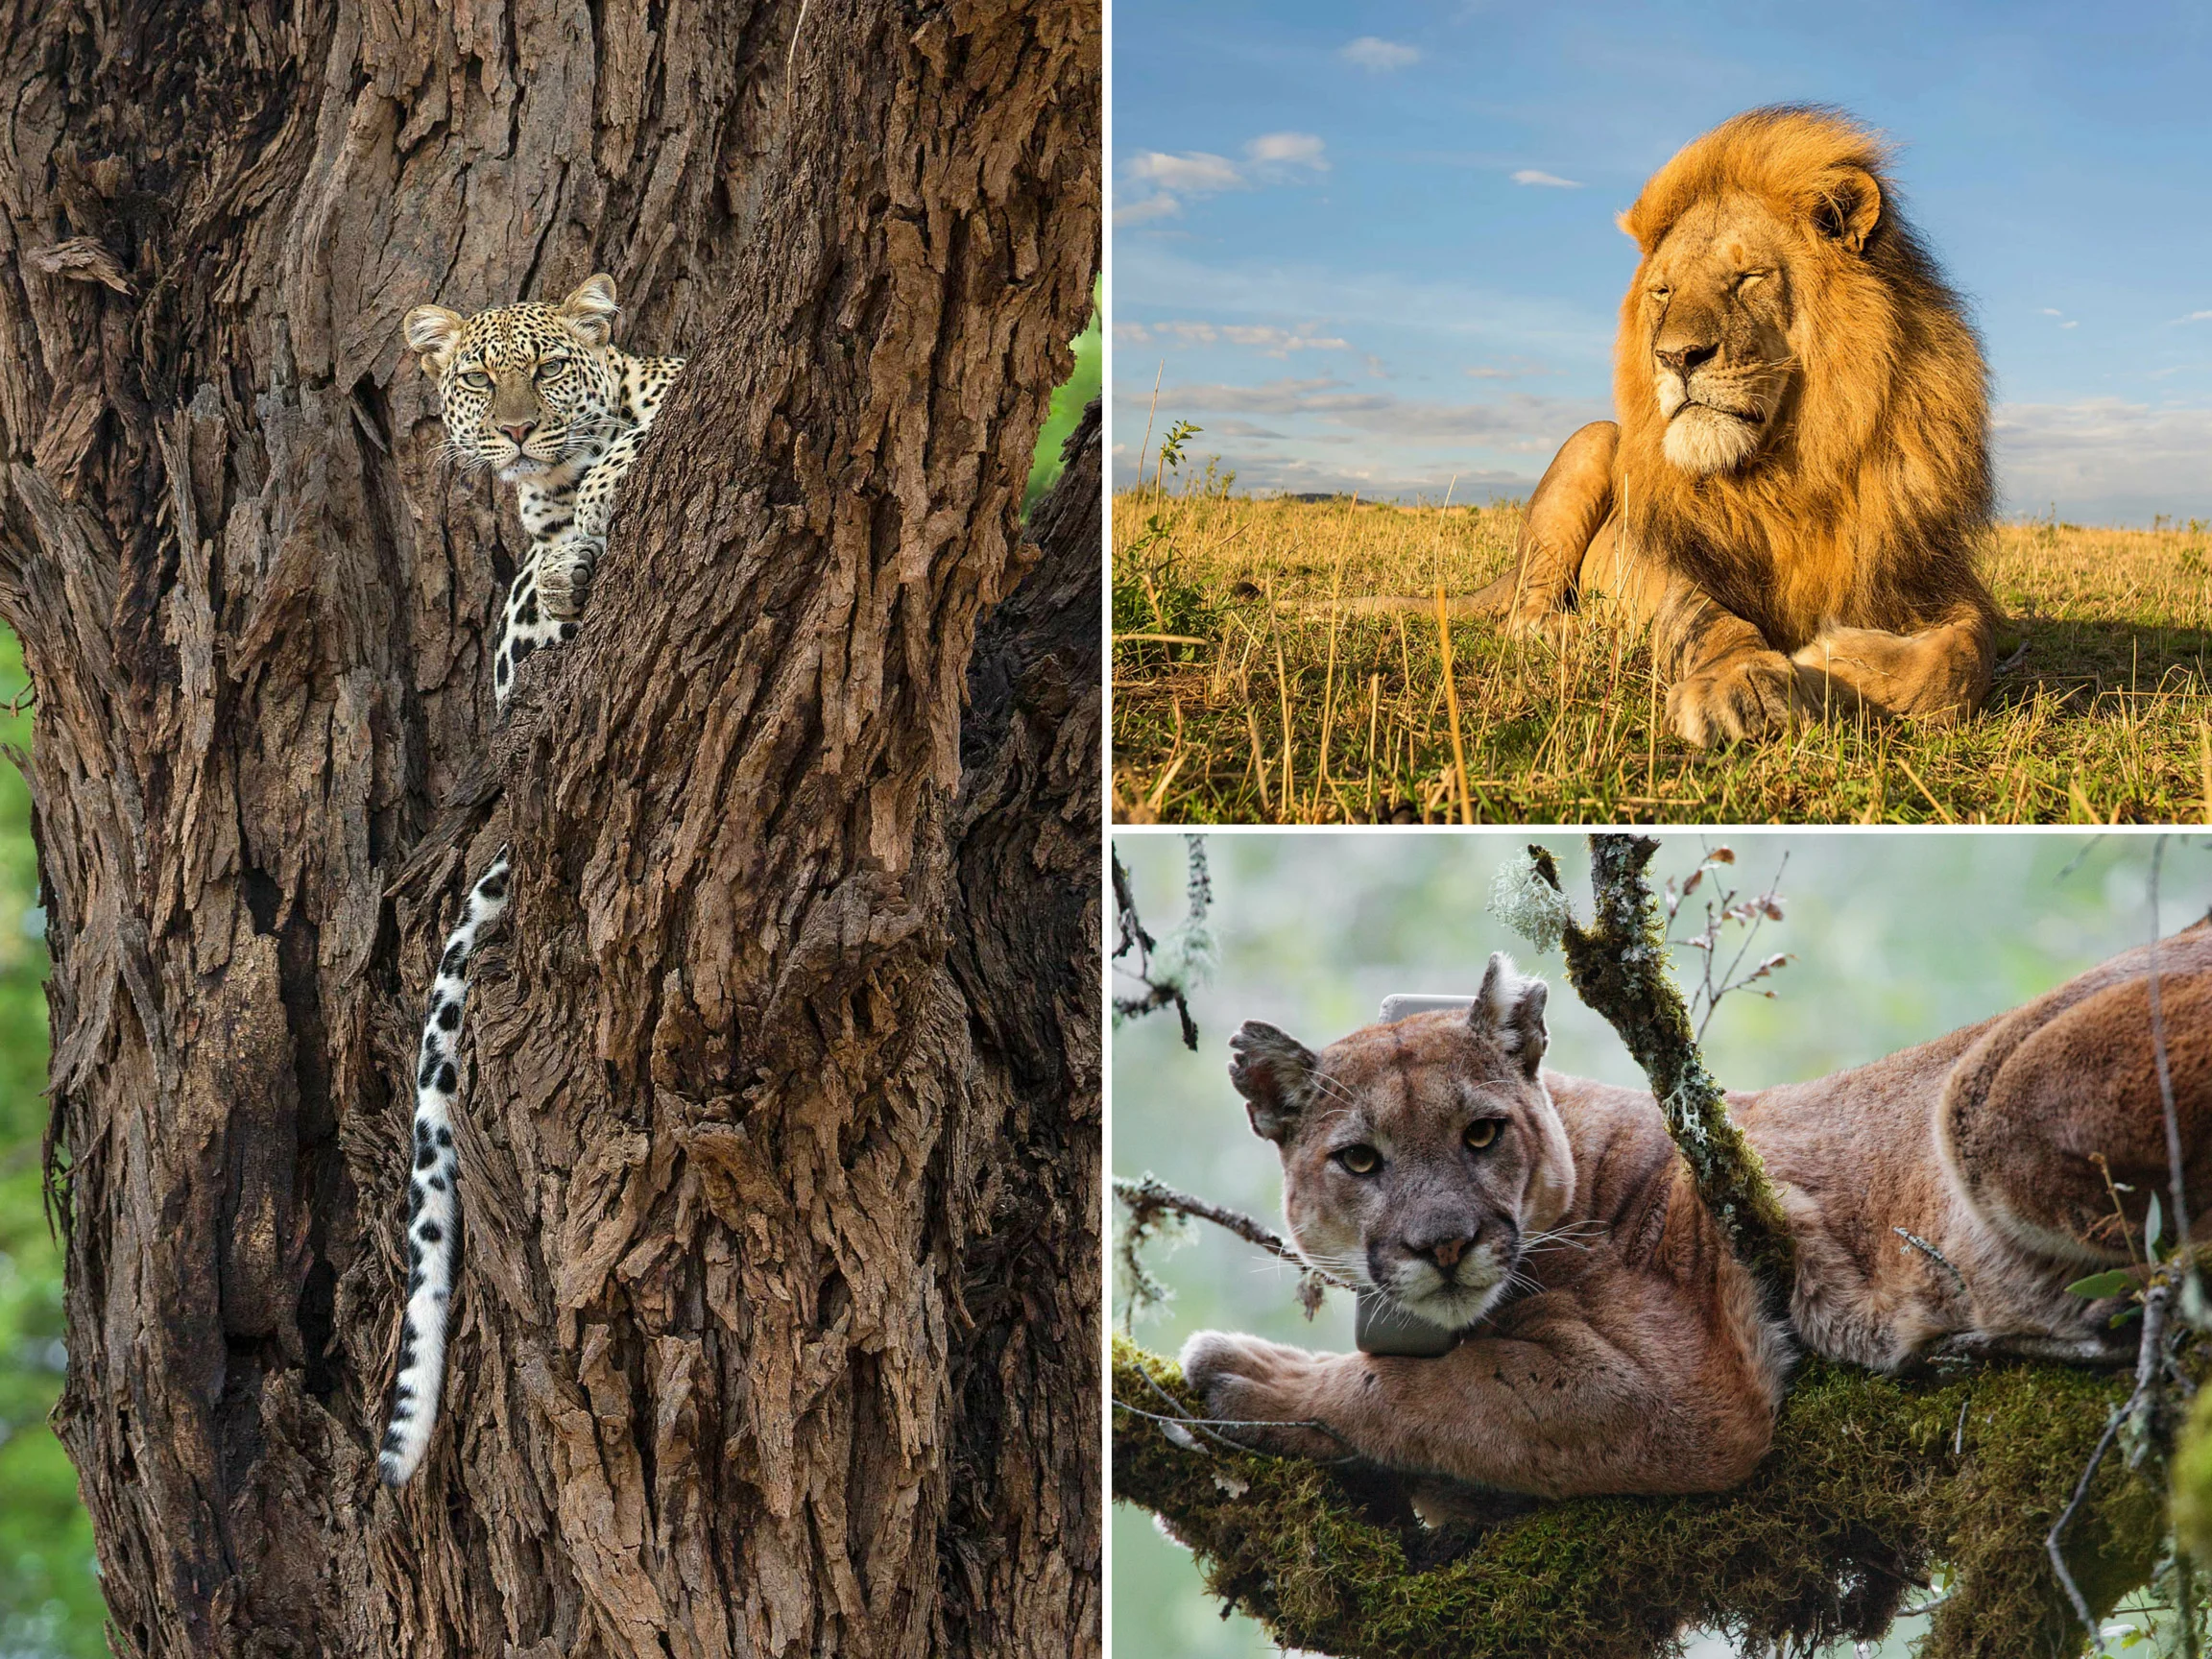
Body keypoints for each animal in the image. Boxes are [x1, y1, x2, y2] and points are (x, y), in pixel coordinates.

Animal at [1179, 926, 2212, 1499]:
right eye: (1360, 1159)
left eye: (1480, 1133)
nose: (1444, 1245)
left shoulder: (1681, 1390)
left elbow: (1426, 1393)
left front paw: (1251, 1377)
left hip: (1990, 1092)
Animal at [1481, 104, 1998, 746]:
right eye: (1663, 290)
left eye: (1749, 276)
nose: (1675, 357)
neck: (1788, 471)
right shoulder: (1678, 562)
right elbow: (1711, 620)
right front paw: (1742, 682)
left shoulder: (1929, 570)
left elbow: (1965, 657)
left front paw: (1834, 660)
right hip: (1594, 442)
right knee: (1525, 608)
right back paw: (1569, 630)